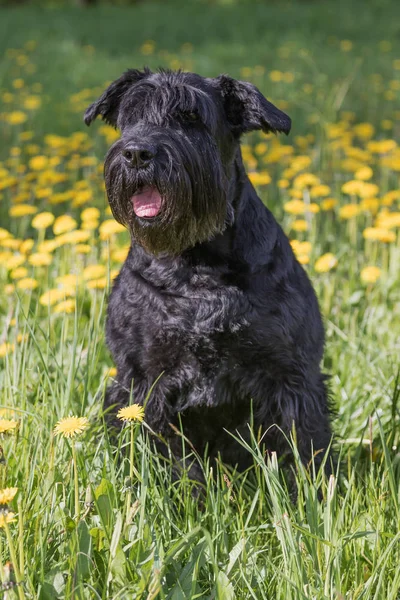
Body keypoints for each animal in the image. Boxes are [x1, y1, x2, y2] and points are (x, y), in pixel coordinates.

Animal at [83, 68, 332, 476]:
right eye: (130, 117)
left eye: (191, 118)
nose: (136, 153)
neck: (197, 265)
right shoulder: (142, 380)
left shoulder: (291, 374)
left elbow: (305, 448)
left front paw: (312, 490)